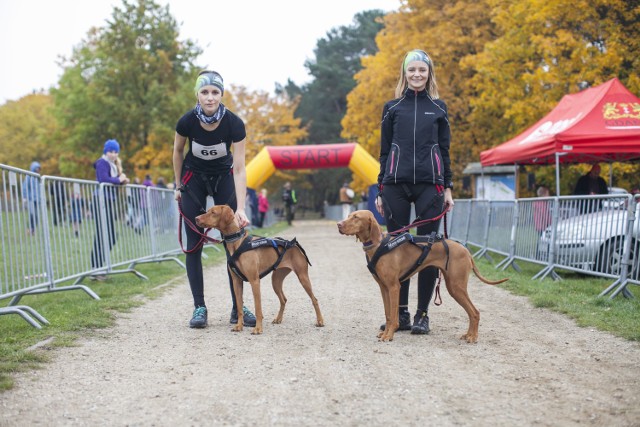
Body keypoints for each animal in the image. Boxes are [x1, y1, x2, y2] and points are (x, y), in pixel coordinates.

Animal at [194, 206, 324, 336]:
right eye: (207, 211)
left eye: (213, 212)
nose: (196, 218)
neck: (237, 243)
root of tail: (293, 244)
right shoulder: (236, 282)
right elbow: (240, 307)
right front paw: (239, 326)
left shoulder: (254, 281)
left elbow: (258, 308)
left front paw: (258, 328)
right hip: (276, 281)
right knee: (283, 299)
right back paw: (278, 319)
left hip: (303, 277)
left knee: (315, 299)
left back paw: (320, 321)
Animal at [338, 211, 508, 344]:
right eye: (349, 215)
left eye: (356, 217)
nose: (339, 224)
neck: (379, 245)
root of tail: (466, 250)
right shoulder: (384, 288)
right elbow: (388, 314)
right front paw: (385, 332)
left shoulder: (394, 287)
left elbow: (393, 315)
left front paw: (389, 335)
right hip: (453, 286)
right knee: (472, 312)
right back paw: (468, 335)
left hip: (456, 286)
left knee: (475, 312)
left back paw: (473, 337)